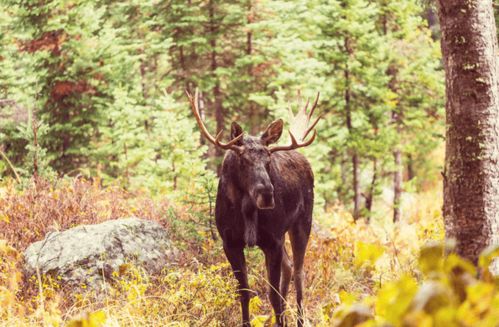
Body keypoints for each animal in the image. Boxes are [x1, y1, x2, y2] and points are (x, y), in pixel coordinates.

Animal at [187, 88, 320, 326]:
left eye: (268, 160)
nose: (267, 194)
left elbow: (273, 295)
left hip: (303, 223)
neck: (247, 211)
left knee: (299, 273)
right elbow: (245, 292)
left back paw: (298, 320)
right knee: (289, 267)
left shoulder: (273, 241)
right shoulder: (230, 242)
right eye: (243, 160)